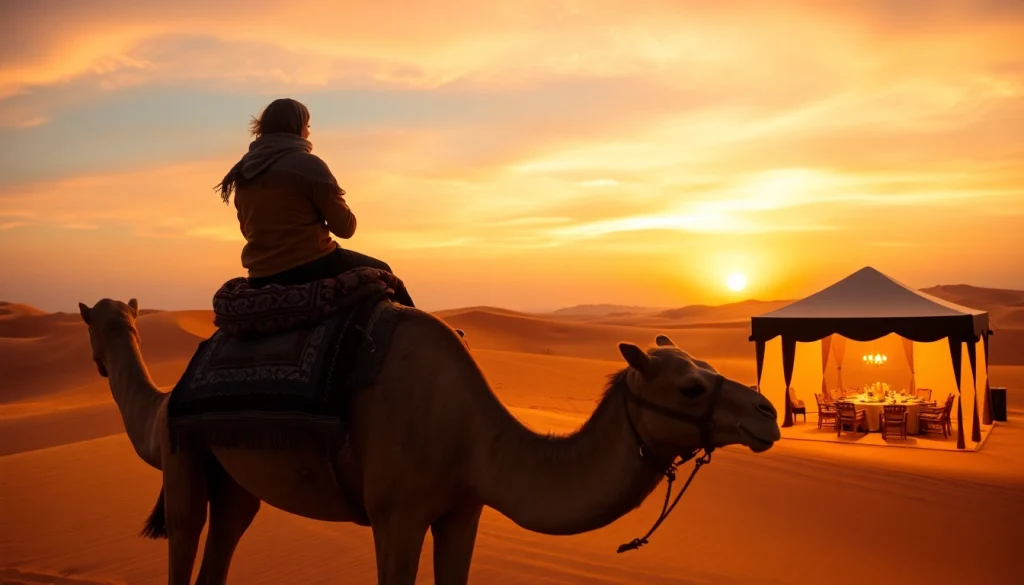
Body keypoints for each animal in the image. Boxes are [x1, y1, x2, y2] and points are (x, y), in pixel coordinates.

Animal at [77, 297, 781, 585]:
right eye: (691, 386)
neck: (471, 434)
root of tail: (174, 392)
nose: (768, 413)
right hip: (183, 459)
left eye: (705, 371)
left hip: (235, 481)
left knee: (224, 540)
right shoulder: (397, 513)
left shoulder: (461, 510)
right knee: (185, 534)